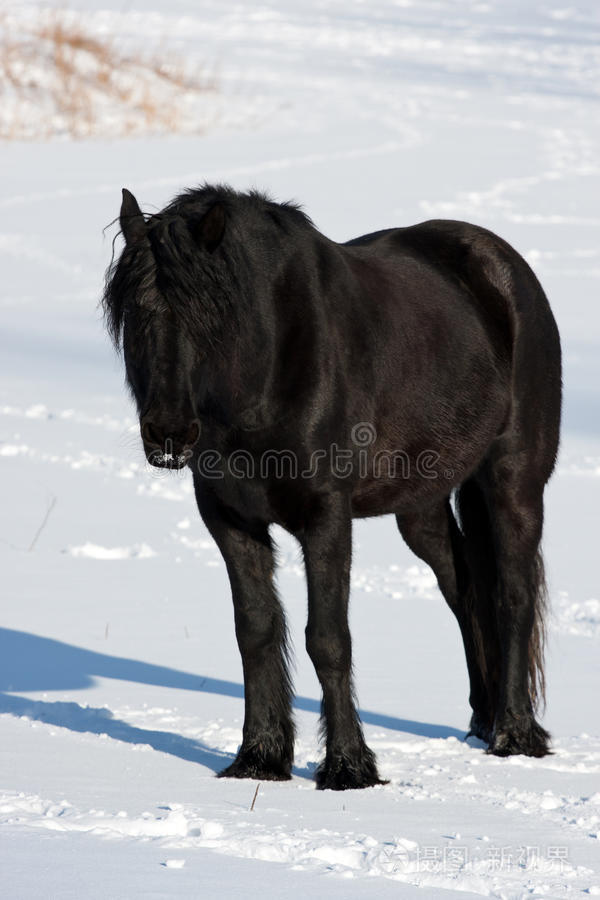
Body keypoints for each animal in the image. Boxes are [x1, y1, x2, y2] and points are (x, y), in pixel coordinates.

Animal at [103, 184, 561, 790]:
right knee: (465, 588)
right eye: (135, 313)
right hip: (422, 506)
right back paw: (483, 721)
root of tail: (506, 268)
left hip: (514, 479)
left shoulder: (325, 516)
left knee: (514, 593)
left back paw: (514, 733)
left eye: (209, 314)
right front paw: (259, 756)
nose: (169, 434)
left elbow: (327, 638)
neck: (270, 372)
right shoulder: (230, 519)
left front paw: (348, 766)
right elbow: (255, 631)